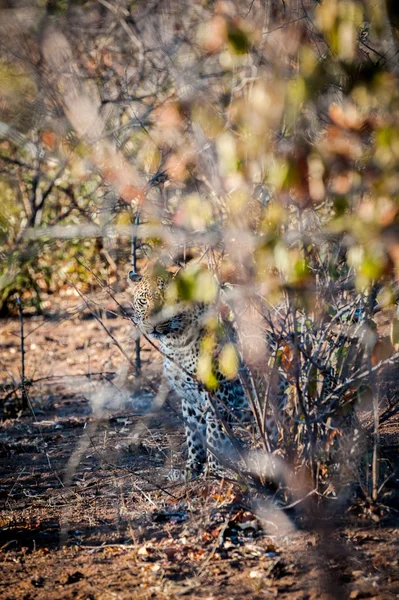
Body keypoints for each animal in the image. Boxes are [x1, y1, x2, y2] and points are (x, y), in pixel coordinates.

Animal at [128, 268, 284, 478]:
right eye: (143, 300)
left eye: (166, 301)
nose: (152, 324)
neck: (174, 344)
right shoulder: (189, 398)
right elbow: (193, 435)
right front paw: (191, 468)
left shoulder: (218, 395)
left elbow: (215, 434)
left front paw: (217, 469)